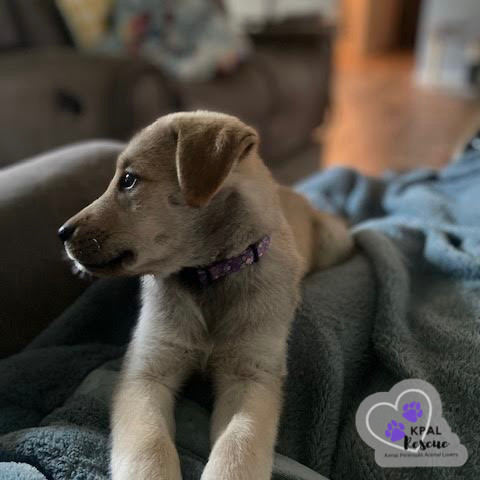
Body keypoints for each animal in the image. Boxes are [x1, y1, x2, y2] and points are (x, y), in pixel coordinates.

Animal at [59, 111, 352, 480]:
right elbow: (150, 443)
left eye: (128, 180)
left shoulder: (251, 375)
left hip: (335, 239)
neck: (207, 279)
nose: (61, 233)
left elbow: (238, 444)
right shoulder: (146, 369)